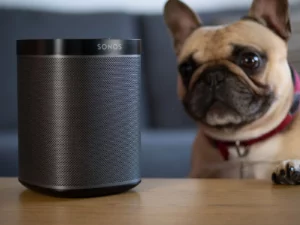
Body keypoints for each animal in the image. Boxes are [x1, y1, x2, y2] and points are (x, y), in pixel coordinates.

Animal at [164, 0, 300, 184]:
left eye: (250, 60)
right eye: (186, 69)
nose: (213, 76)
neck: (241, 142)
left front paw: (291, 167)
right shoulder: (199, 173)